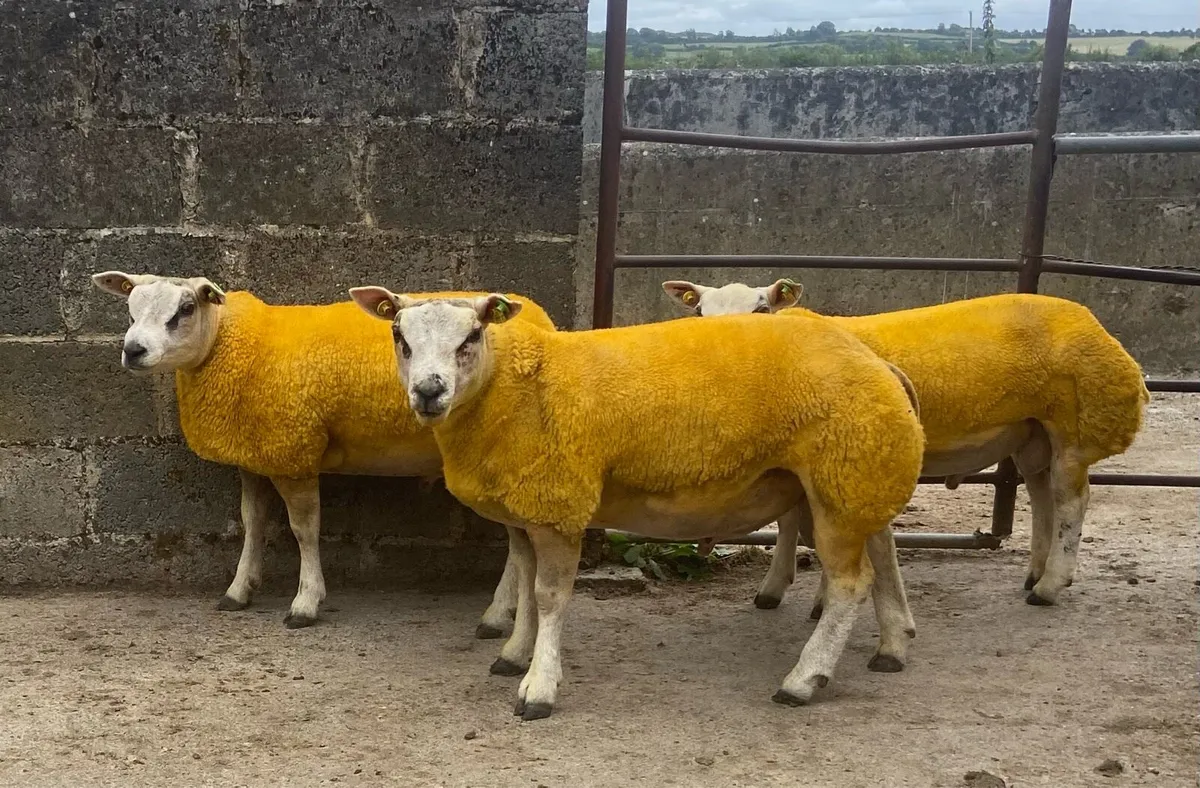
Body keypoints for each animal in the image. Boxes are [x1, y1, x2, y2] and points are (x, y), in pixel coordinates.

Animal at [91, 271, 556, 630]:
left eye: (185, 309)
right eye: (130, 311)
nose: (133, 350)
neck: (228, 346)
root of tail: (540, 317)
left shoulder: (294, 450)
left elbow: (304, 530)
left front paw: (305, 603)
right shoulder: (254, 456)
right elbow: (252, 523)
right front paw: (239, 590)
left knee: (517, 544)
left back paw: (497, 615)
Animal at [348, 284, 926, 719]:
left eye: (472, 335)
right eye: (398, 336)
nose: (429, 391)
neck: (511, 391)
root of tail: (879, 364)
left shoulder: (560, 503)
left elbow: (550, 597)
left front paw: (539, 687)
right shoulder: (526, 510)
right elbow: (527, 588)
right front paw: (514, 654)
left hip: (843, 476)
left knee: (851, 583)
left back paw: (804, 680)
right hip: (849, 480)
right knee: (881, 552)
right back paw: (893, 644)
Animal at [663, 277, 1150, 613]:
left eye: (762, 308)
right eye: (699, 312)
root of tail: (1094, 323)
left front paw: (814, 599)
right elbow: (786, 522)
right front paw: (774, 588)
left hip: (1075, 422)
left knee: (1072, 500)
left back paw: (1050, 586)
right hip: (1033, 430)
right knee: (1042, 494)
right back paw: (1036, 573)